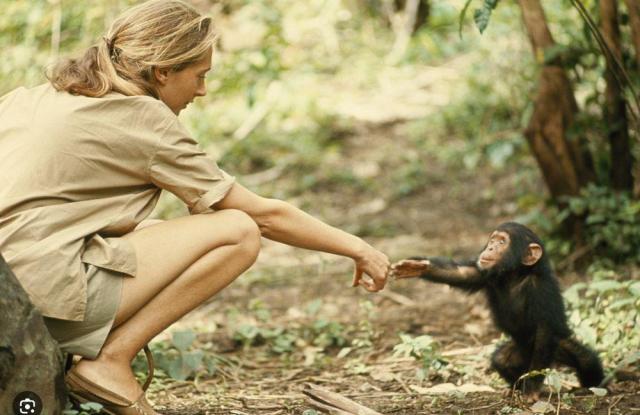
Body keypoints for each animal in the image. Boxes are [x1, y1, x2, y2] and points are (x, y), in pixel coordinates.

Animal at [390, 222, 605, 396]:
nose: (491, 247)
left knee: (585, 360)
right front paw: (417, 266)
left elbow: (545, 330)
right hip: (519, 352)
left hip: (555, 348)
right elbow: (460, 273)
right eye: (493, 240)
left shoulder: (542, 290)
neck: (515, 275)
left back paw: (593, 385)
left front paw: (532, 389)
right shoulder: (483, 273)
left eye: (502, 242)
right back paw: (514, 387)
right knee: (502, 360)